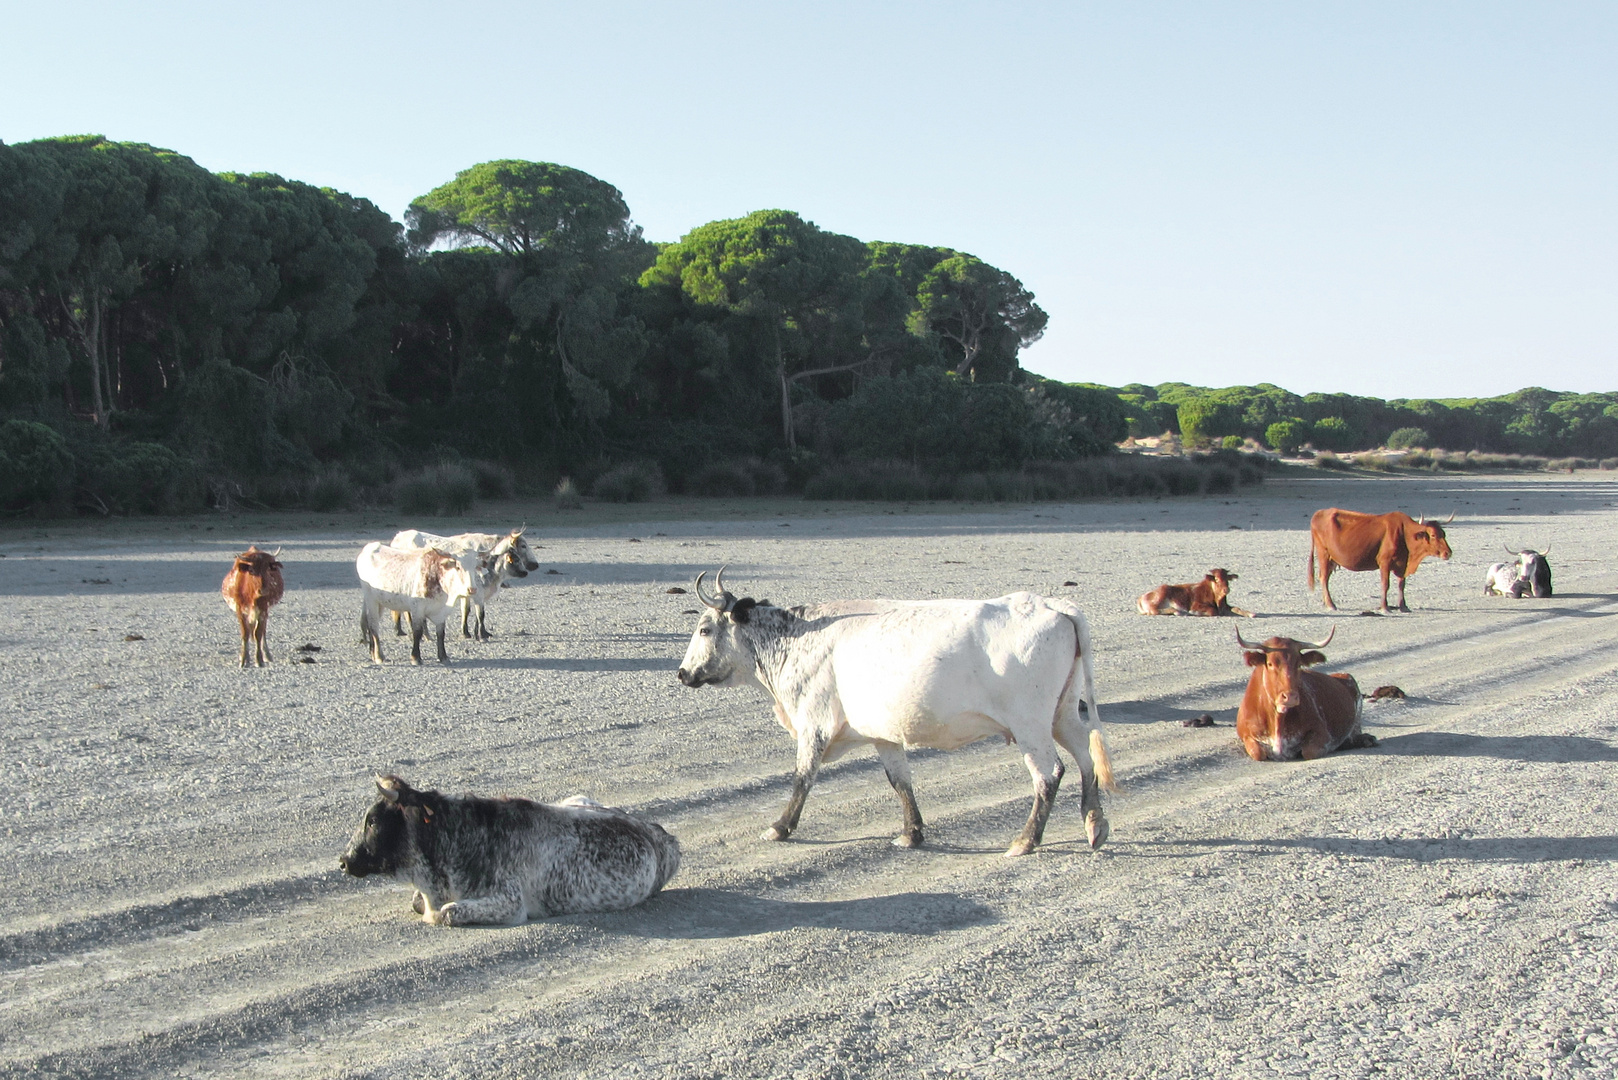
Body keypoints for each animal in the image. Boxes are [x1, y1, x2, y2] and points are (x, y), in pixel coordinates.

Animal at [338, 777, 679, 932]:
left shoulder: (510, 904)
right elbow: (417, 903)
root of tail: (660, 834)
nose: (343, 861)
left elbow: (448, 912)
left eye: (372, 820)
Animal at [673, 569, 1113, 854]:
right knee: (1085, 755)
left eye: (705, 630)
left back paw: (1025, 840)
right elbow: (900, 781)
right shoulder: (883, 734)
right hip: (1063, 714)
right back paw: (1095, 823)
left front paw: (780, 827)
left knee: (1049, 774)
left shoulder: (814, 722)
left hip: (1030, 724)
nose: (682, 673)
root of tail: (1050, 604)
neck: (799, 638)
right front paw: (911, 832)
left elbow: (802, 778)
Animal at [1229, 628, 1372, 764]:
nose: (1290, 697)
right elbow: (1258, 753)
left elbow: (1309, 752)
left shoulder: (1322, 733)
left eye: (1299, 664)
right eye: (1270, 664)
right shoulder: (1246, 735)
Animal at [1300, 508, 1456, 612]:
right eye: (1433, 535)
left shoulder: (1402, 564)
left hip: (1332, 559)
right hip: (1324, 554)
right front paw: (1384, 607)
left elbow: (1401, 584)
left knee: (1324, 577)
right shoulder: (1384, 562)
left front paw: (1403, 606)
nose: (1448, 553)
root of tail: (1319, 513)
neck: (1404, 533)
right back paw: (1331, 604)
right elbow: (1385, 584)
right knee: (1323, 578)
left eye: (1444, 533)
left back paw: (1326, 602)